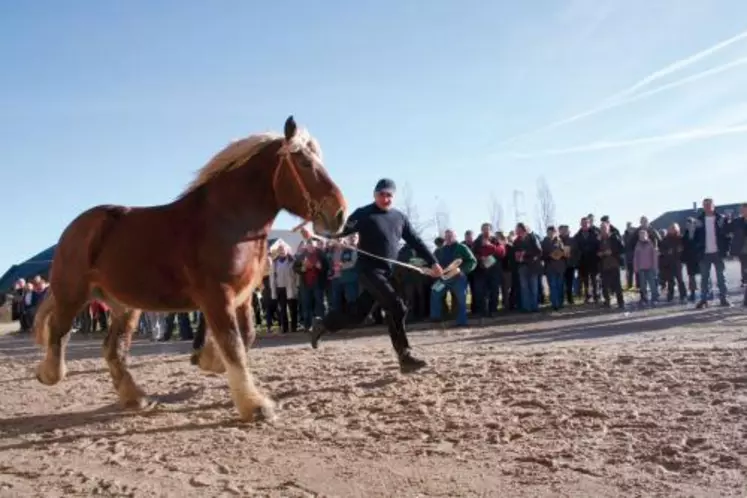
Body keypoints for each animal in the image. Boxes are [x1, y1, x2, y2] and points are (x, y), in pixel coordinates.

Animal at [33, 115, 350, 420]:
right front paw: (254, 405)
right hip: (72, 295)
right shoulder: (217, 295)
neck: (227, 221)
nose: (339, 213)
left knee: (113, 349)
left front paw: (208, 359)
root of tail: (75, 228)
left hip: (125, 306)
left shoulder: (243, 297)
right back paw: (48, 373)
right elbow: (233, 343)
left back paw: (136, 397)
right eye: (305, 162)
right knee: (59, 331)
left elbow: (246, 336)